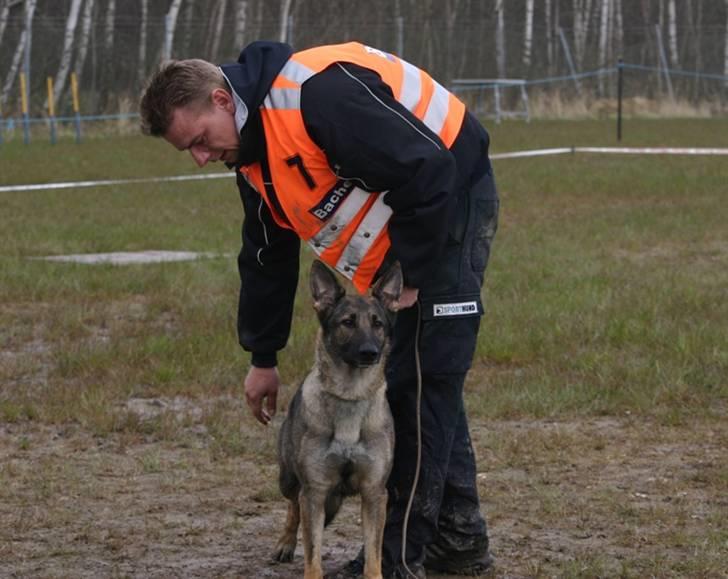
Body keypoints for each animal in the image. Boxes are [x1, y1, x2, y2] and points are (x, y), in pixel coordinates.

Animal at [272, 262, 400, 579]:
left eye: (378, 324)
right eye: (347, 323)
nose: (370, 352)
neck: (350, 397)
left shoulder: (374, 494)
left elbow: (373, 556)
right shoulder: (315, 492)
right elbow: (313, 554)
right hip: (289, 480)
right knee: (293, 505)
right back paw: (285, 543)